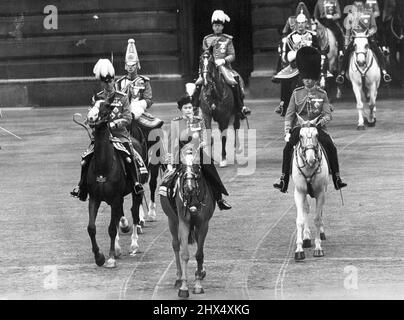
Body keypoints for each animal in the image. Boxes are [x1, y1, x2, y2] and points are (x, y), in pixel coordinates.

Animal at [85, 98, 147, 268]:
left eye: (107, 107)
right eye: (92, 105)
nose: (91, 118)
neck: (103, 167)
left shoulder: (115, 198)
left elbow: (112, 228)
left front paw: (111, 257)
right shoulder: (94, 198)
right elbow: (91, 228)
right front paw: (99, 256)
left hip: (135, 191)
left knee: (134, 212)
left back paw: (134, 245)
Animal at [292, 116, 330, 262]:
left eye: (317, 135)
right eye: (300, 136)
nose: (311, 159)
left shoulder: (320, 192)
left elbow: (317, 219)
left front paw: (318, 248)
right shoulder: (299, 192)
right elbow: (300, 220)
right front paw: (299, 249)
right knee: (306, 209)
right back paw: (307, 238)